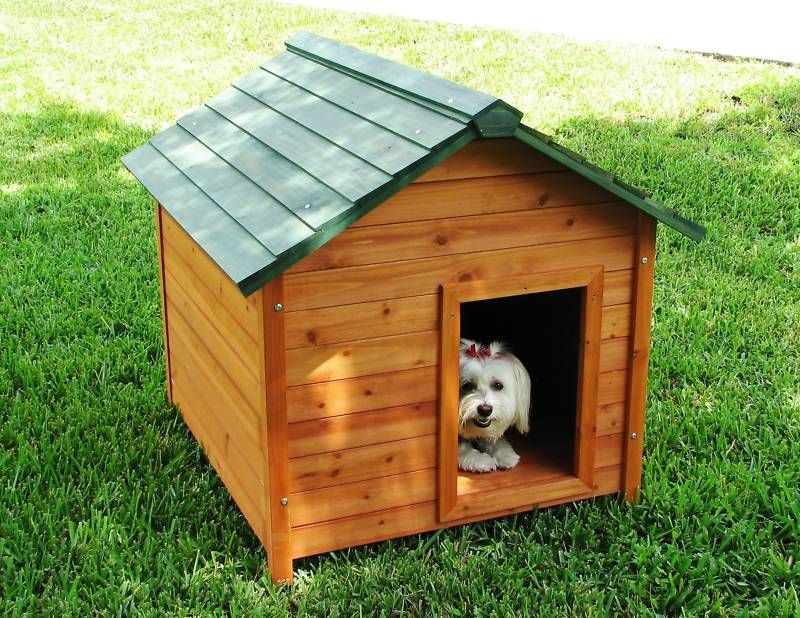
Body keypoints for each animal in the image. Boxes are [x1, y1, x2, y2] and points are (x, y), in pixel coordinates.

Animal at [456, 336, 532, 472]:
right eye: (467, 385)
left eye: (498, 385)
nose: (485, 410)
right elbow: (461, 448)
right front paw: (479, 459)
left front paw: (504, 453)